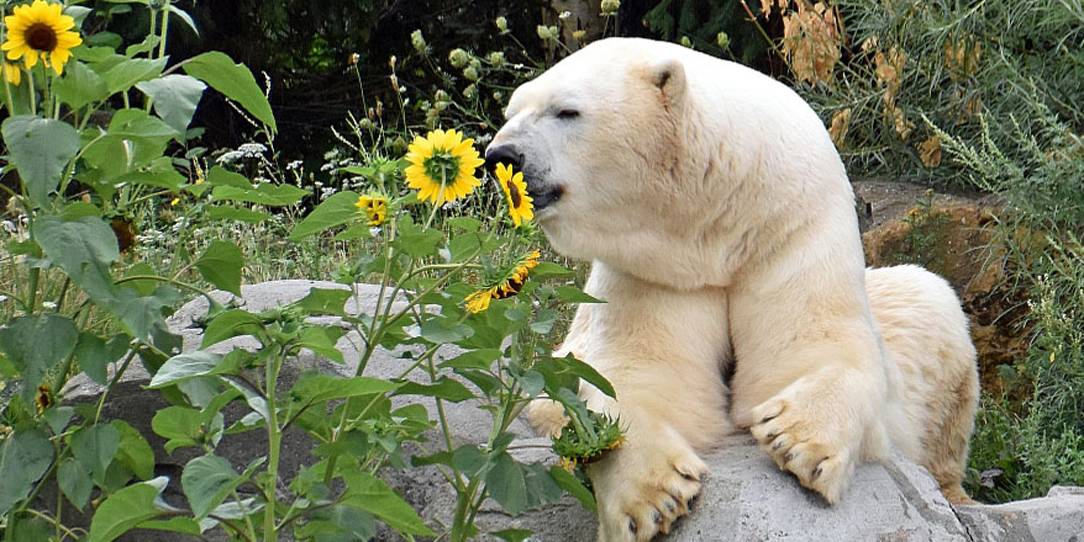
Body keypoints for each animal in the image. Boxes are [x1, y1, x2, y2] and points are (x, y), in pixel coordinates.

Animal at [485, 37, 979, 542]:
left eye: (567, 111)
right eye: (511, 110)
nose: (501, 156)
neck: (719, 219)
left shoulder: (792, 227)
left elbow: (820, 344)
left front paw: (795, 439)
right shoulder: (655, 269)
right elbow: (630, 373)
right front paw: (652, 497)